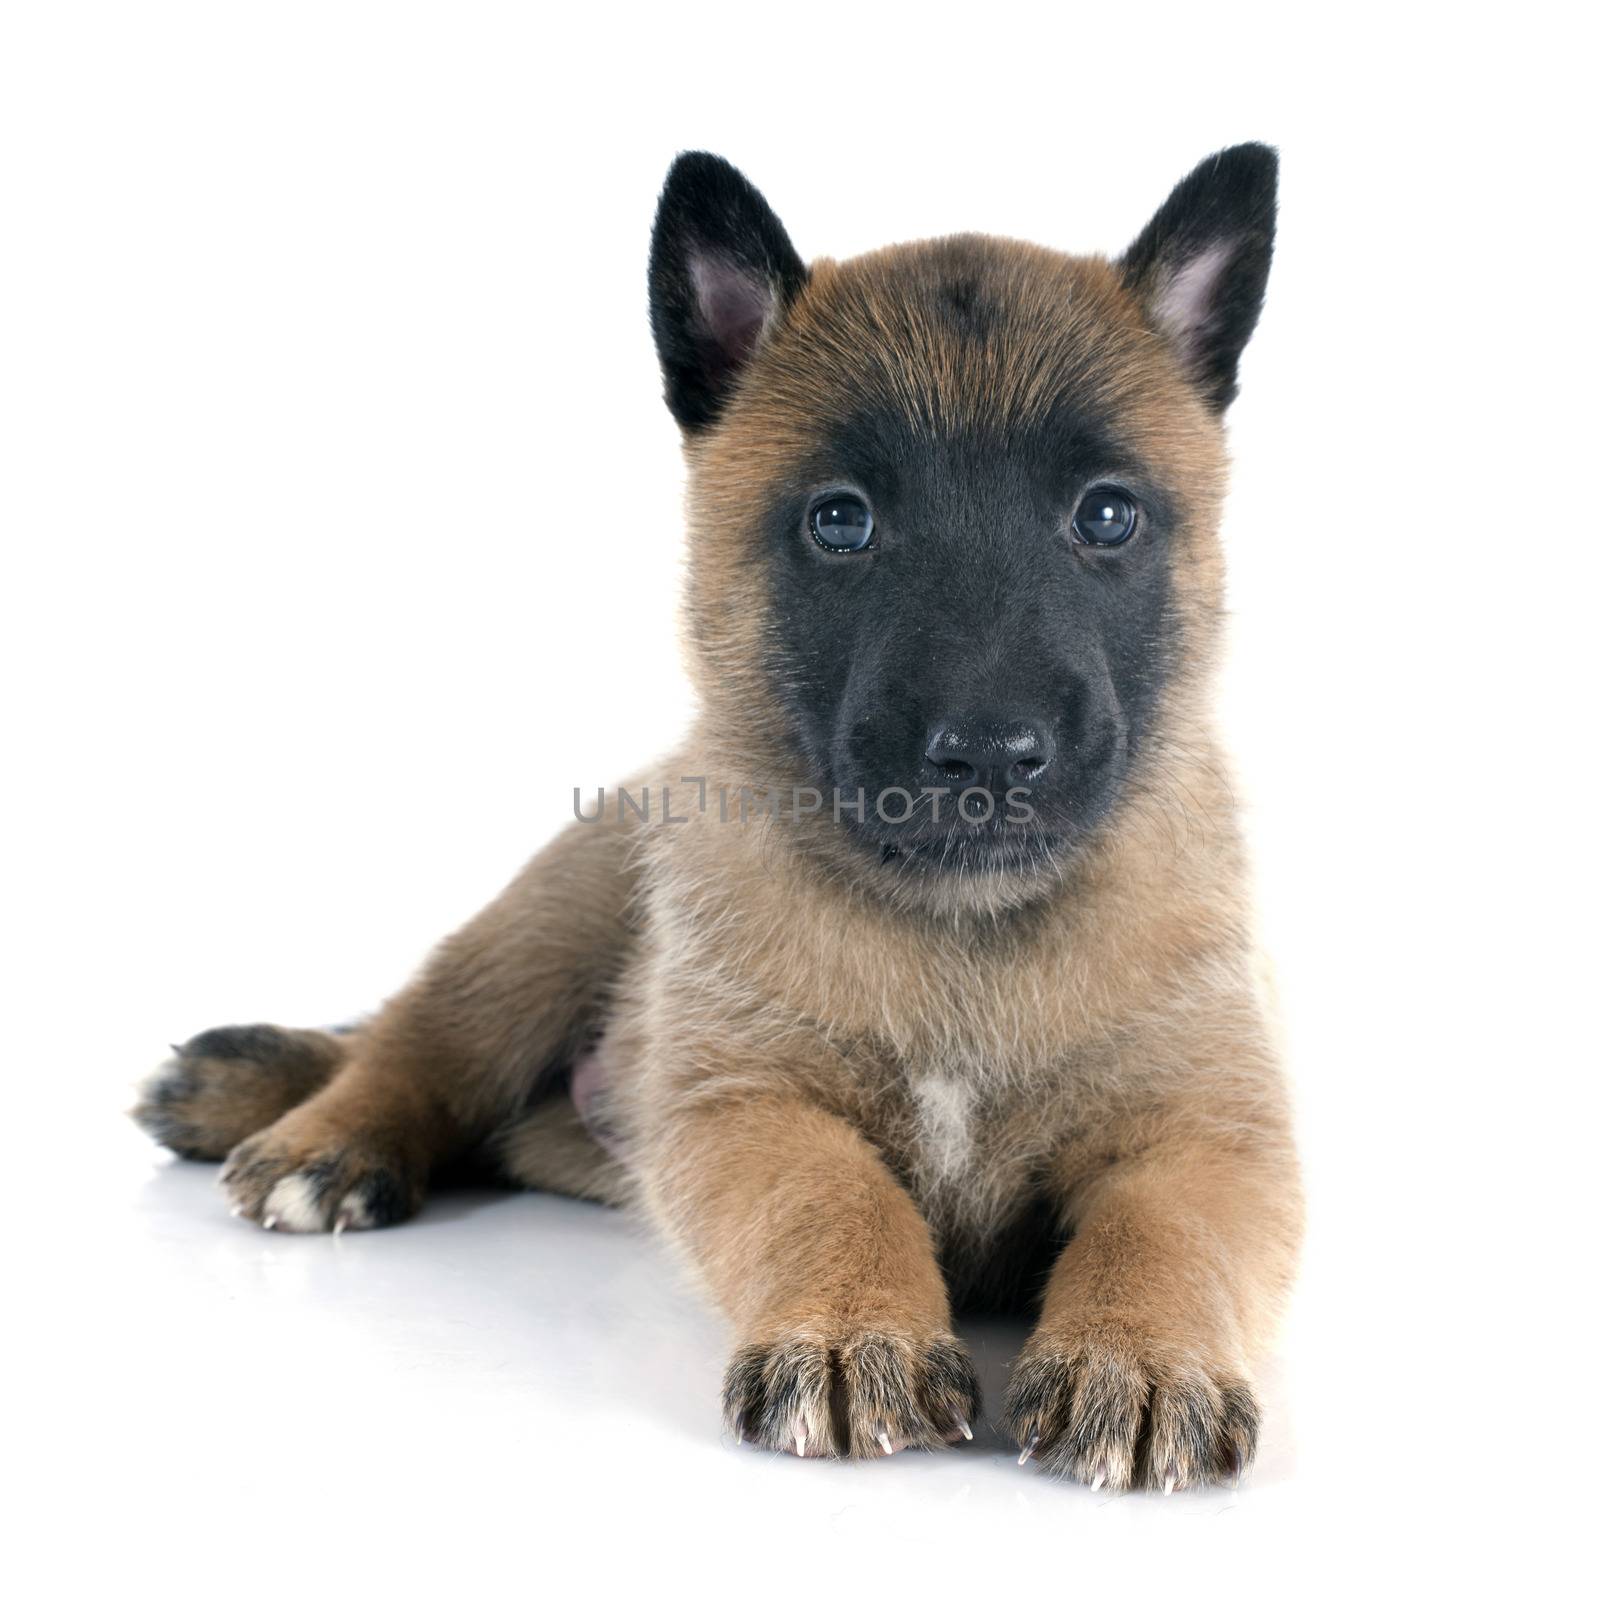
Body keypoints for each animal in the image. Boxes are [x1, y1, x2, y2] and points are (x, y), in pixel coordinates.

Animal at [140, 144, 1299, 1491]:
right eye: (840, 519)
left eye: (1107, 515)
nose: (989, 754)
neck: (960, 923)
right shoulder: (746, 1104)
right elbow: (834, 1196)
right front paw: (850, 1329)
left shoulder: (1212, 1135)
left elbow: (1169, 1235)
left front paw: (1140, 1356)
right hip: (549, 919)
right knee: (418, 1037)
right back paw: (311, 1132)